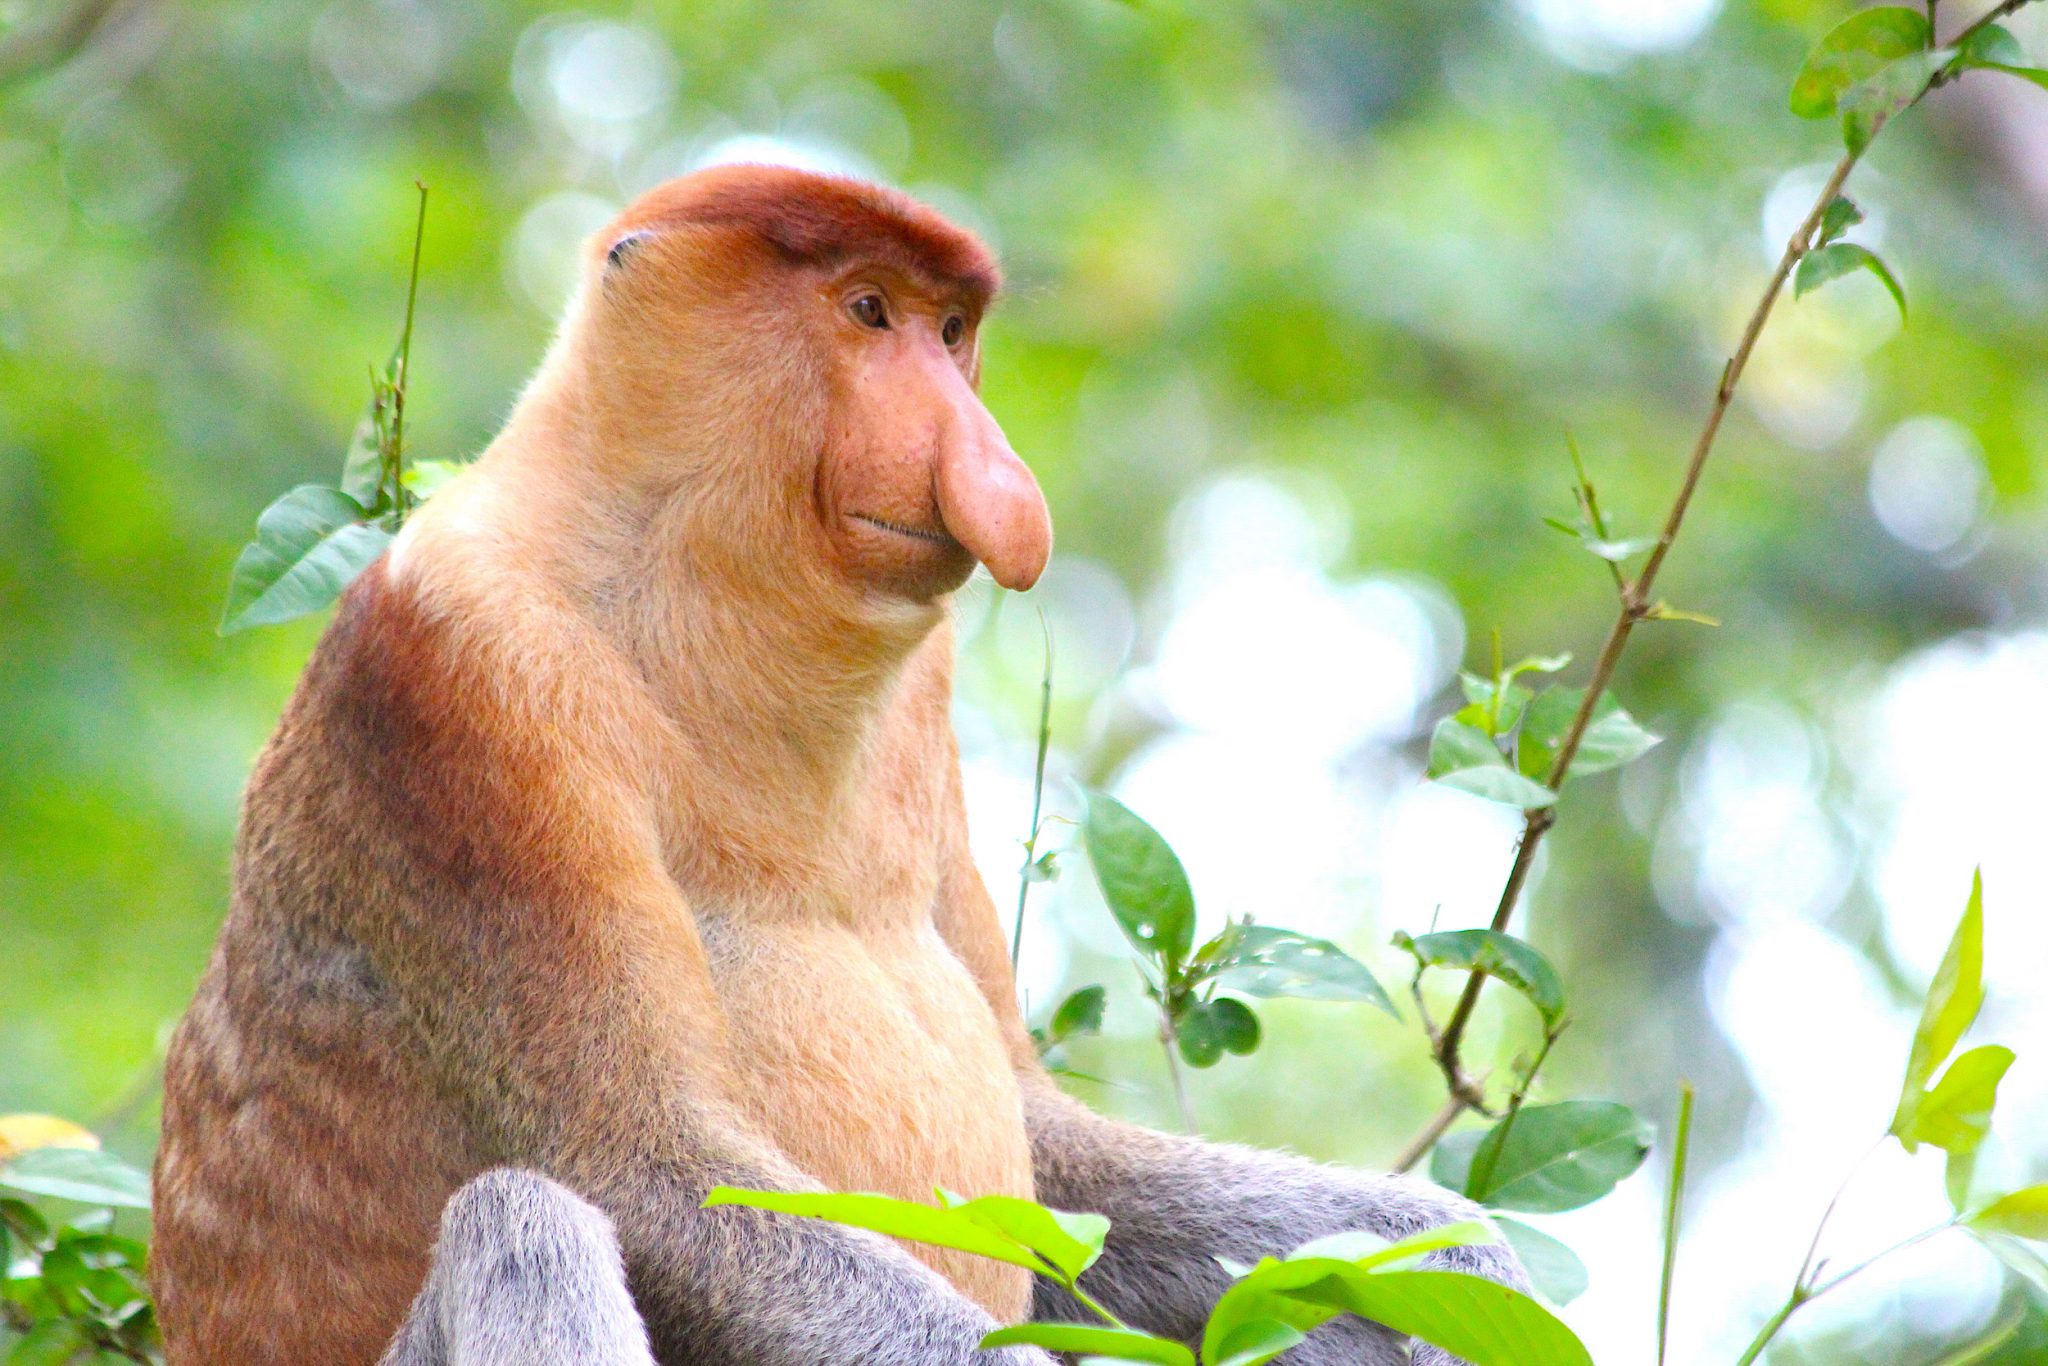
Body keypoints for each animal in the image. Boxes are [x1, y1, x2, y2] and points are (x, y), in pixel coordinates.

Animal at [151, 164, 1523, 1366]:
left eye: (950, 330)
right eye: (867, 311)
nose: (990, 468)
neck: (671, 576)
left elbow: (1049, 1151)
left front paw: (1452, 1260)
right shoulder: (467, 685)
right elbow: (646, 1171)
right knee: (522, 1222)